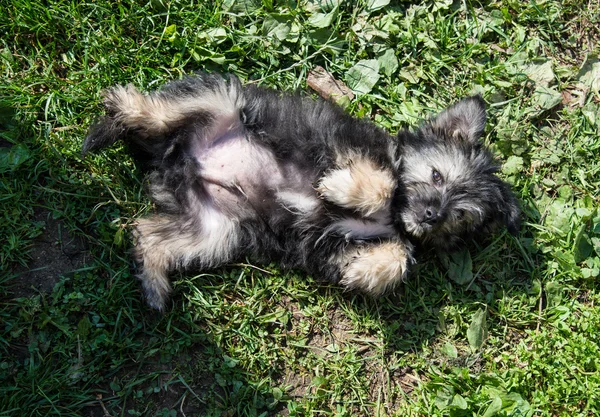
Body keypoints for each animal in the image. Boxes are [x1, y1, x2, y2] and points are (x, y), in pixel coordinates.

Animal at [83, 73, 520, 310]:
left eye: (459, 216)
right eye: (436, 176)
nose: (431, 215)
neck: (395, 217)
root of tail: (177, 161)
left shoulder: (343, 240)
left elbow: (398, 255)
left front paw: (364, 270)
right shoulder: (355, 147)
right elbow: (385, 181)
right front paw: (340, 186)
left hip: (213, 231)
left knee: (148, 235)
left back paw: (155, 286)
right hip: (218, 101)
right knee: (158, 111)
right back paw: (125, 103)